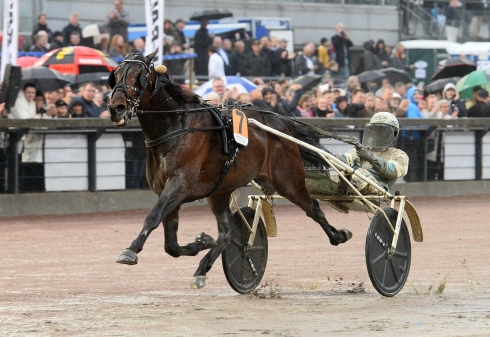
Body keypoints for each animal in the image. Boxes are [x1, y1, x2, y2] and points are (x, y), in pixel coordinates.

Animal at [107, 51, 352, 288]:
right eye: (116, 75)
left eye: (138, 75)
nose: (116, 108)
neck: (174, 126)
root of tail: (280, 125)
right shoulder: (166, 190)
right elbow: (171, 245)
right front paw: (202, 242)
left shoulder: (179, 184)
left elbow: (153, 217)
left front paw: (130, 250)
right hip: (220, 191)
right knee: (226, 233)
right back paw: (202, 269)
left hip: (288, 180)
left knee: (314, 208)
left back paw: (339, 235)